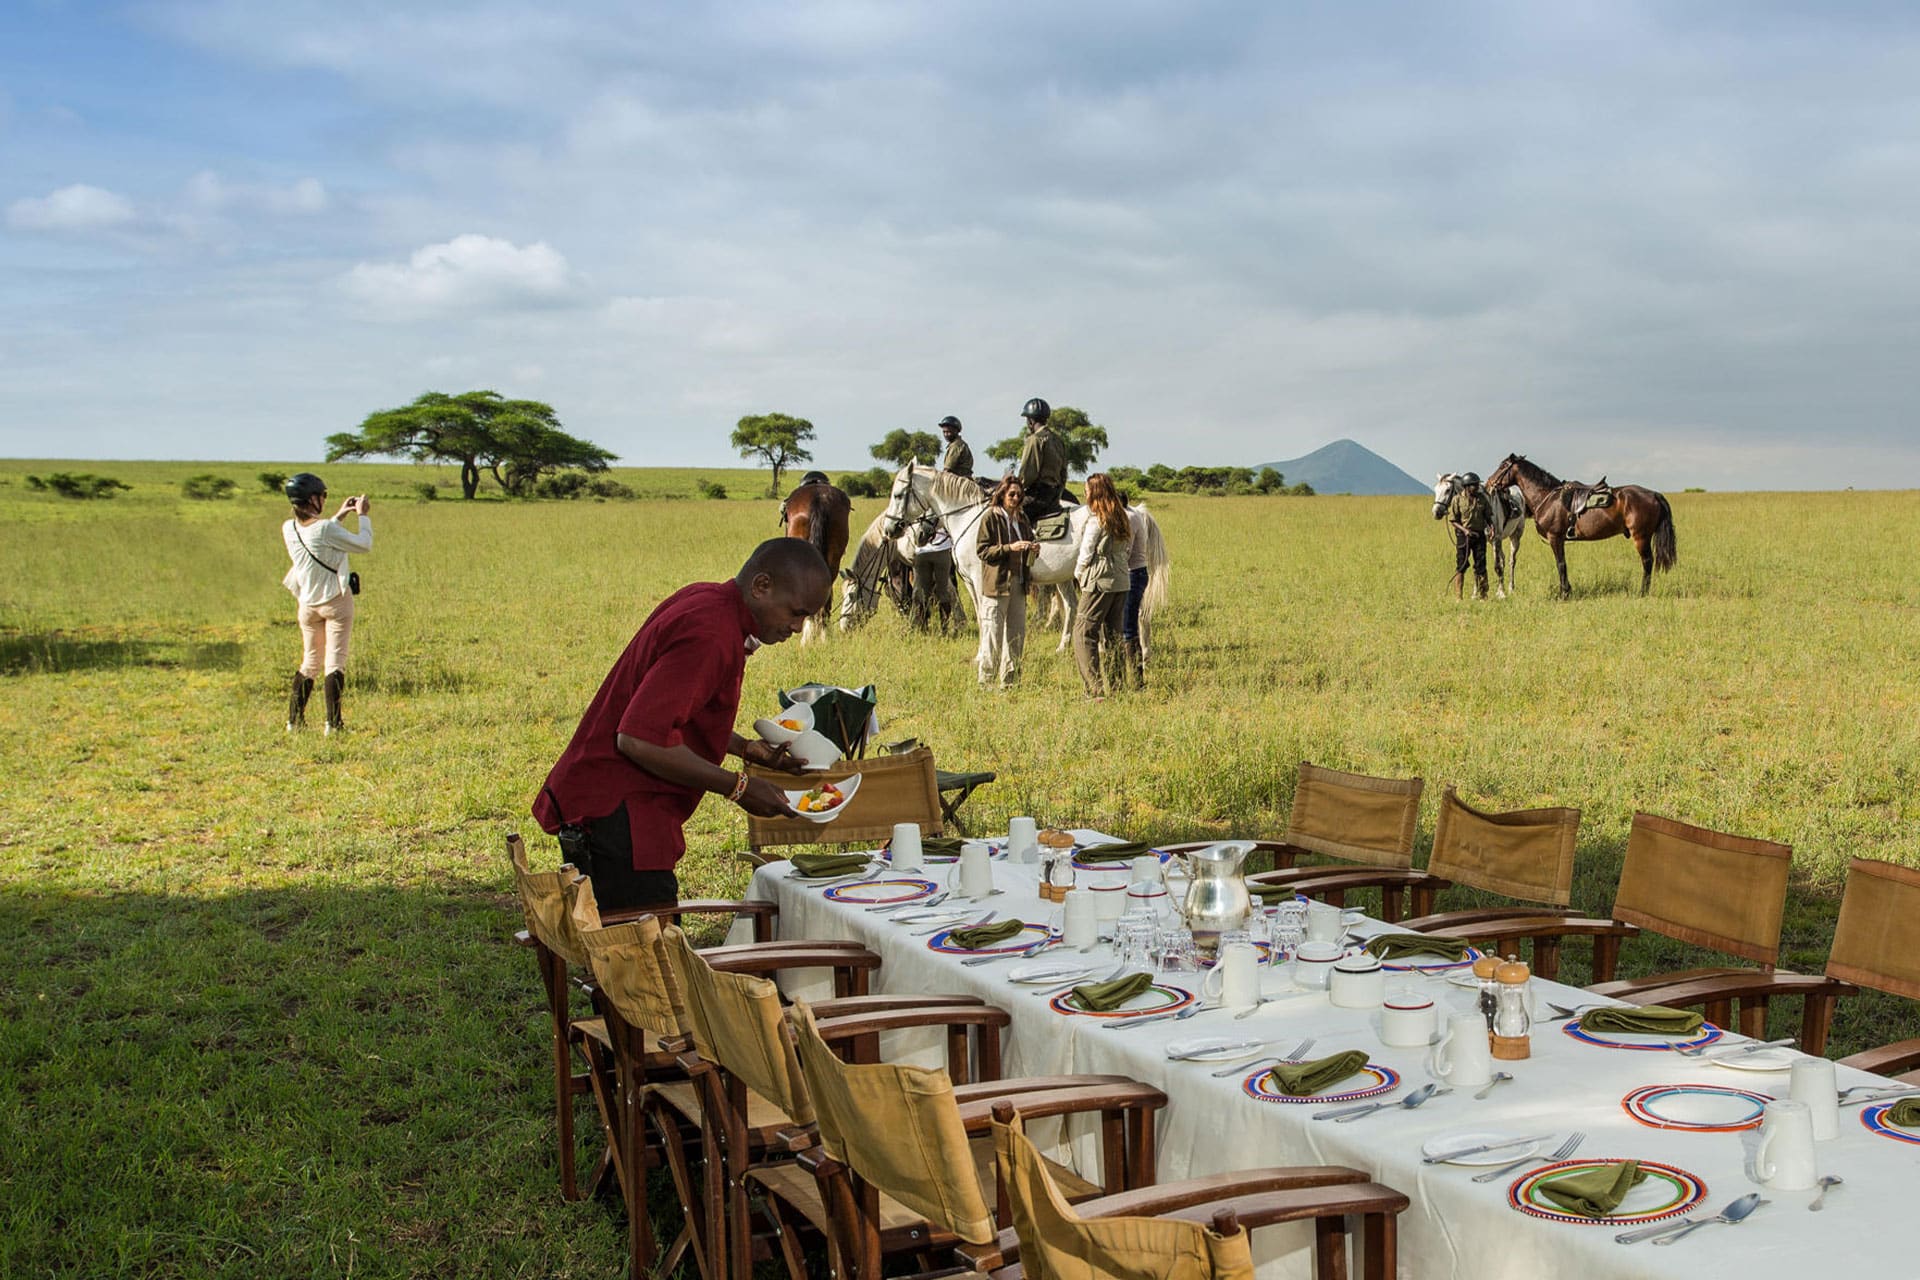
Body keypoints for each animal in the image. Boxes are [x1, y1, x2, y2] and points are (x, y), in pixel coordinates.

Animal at [879, 460, 1167, 660]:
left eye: (898, 495)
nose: (891, 529)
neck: (972, 519)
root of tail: (1131, 511)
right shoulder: (972, 584)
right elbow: (983, 617)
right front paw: (984, 654)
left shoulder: (981, 581)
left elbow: (987, 616)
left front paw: (988, 655)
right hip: (1067, 577)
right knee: (1073, 607)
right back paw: (1065, 647)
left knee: (1136, 611)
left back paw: (1143, 652)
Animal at [1489, 454, 1674, 602]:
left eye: (1503, 466)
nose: (1490, 482)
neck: (1548, 496)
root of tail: (1654, 494)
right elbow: (1562, 564)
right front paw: (1567, 591)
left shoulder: (1555, 538)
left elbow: (1561, 564)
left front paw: (1564, 594)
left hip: (1641, 537)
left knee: (1647, 562)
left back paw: (1642, 593)